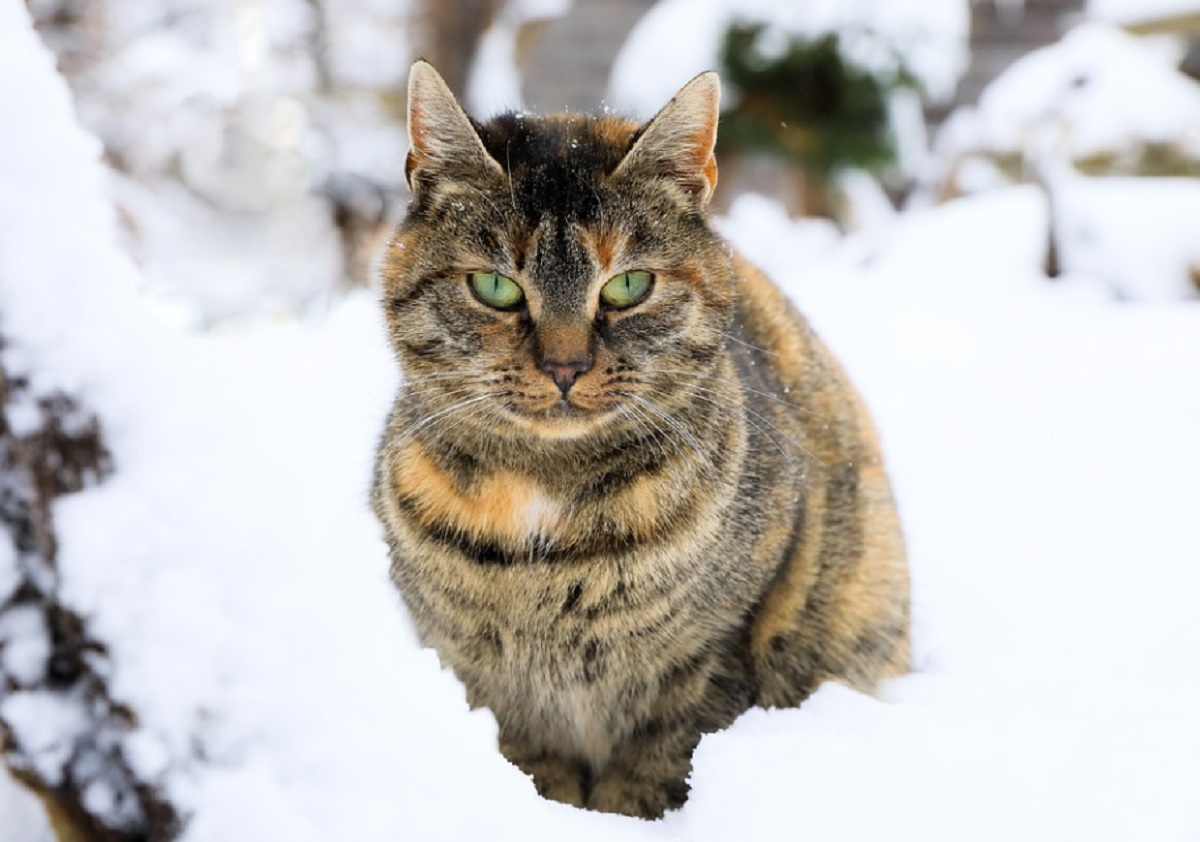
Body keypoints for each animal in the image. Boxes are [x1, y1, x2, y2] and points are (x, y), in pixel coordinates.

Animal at [369, 61, 902, 825]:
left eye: (628, 285)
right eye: (496, 285)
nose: (564, 366)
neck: (544, 504)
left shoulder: (715, 650)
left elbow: (657, 764)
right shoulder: (485, 679)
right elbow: (533, 764)